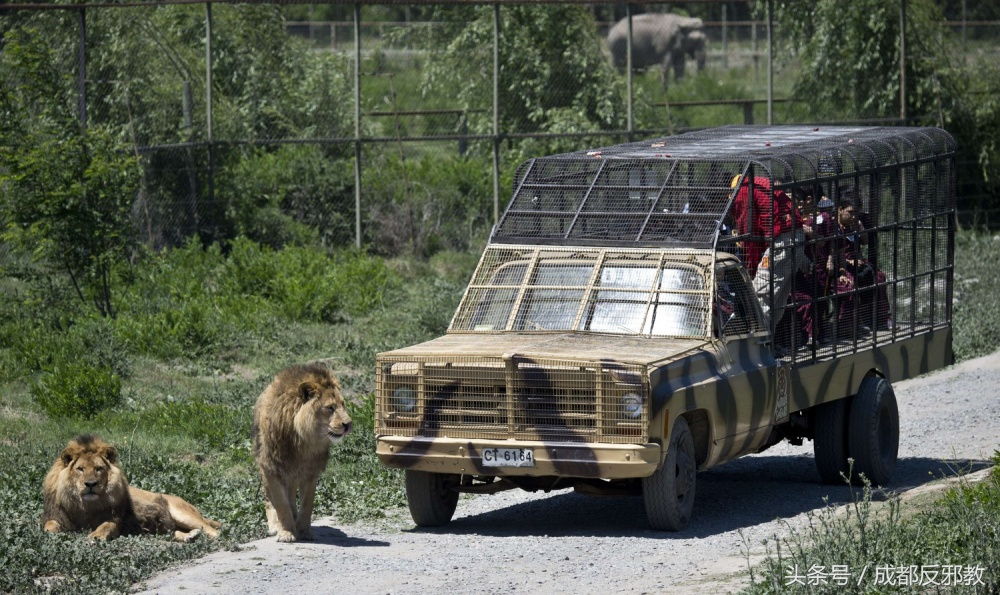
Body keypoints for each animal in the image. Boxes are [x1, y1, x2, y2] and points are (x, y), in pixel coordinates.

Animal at [41, 436, 221, 544]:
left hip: (181, 512)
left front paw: (96, 536)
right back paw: (190, 536)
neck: (85, 506)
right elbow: (49, 526)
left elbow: (106, 526)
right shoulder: (56, 515)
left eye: (99, 469)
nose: (90, 484)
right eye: (80, 469)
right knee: (176, 532)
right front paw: (50, 534)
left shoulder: (115, 518)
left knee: (211, 529)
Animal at [252, 360, 354, 544]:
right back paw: (275, 526)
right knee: (269, 499)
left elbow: (307, 504)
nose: (348, 424)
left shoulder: (310, 472)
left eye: (343, 404)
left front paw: (304, 531)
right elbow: (281, 504)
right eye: (330, 407)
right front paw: (286, 532)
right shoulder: (272, 468)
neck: (303, 441)